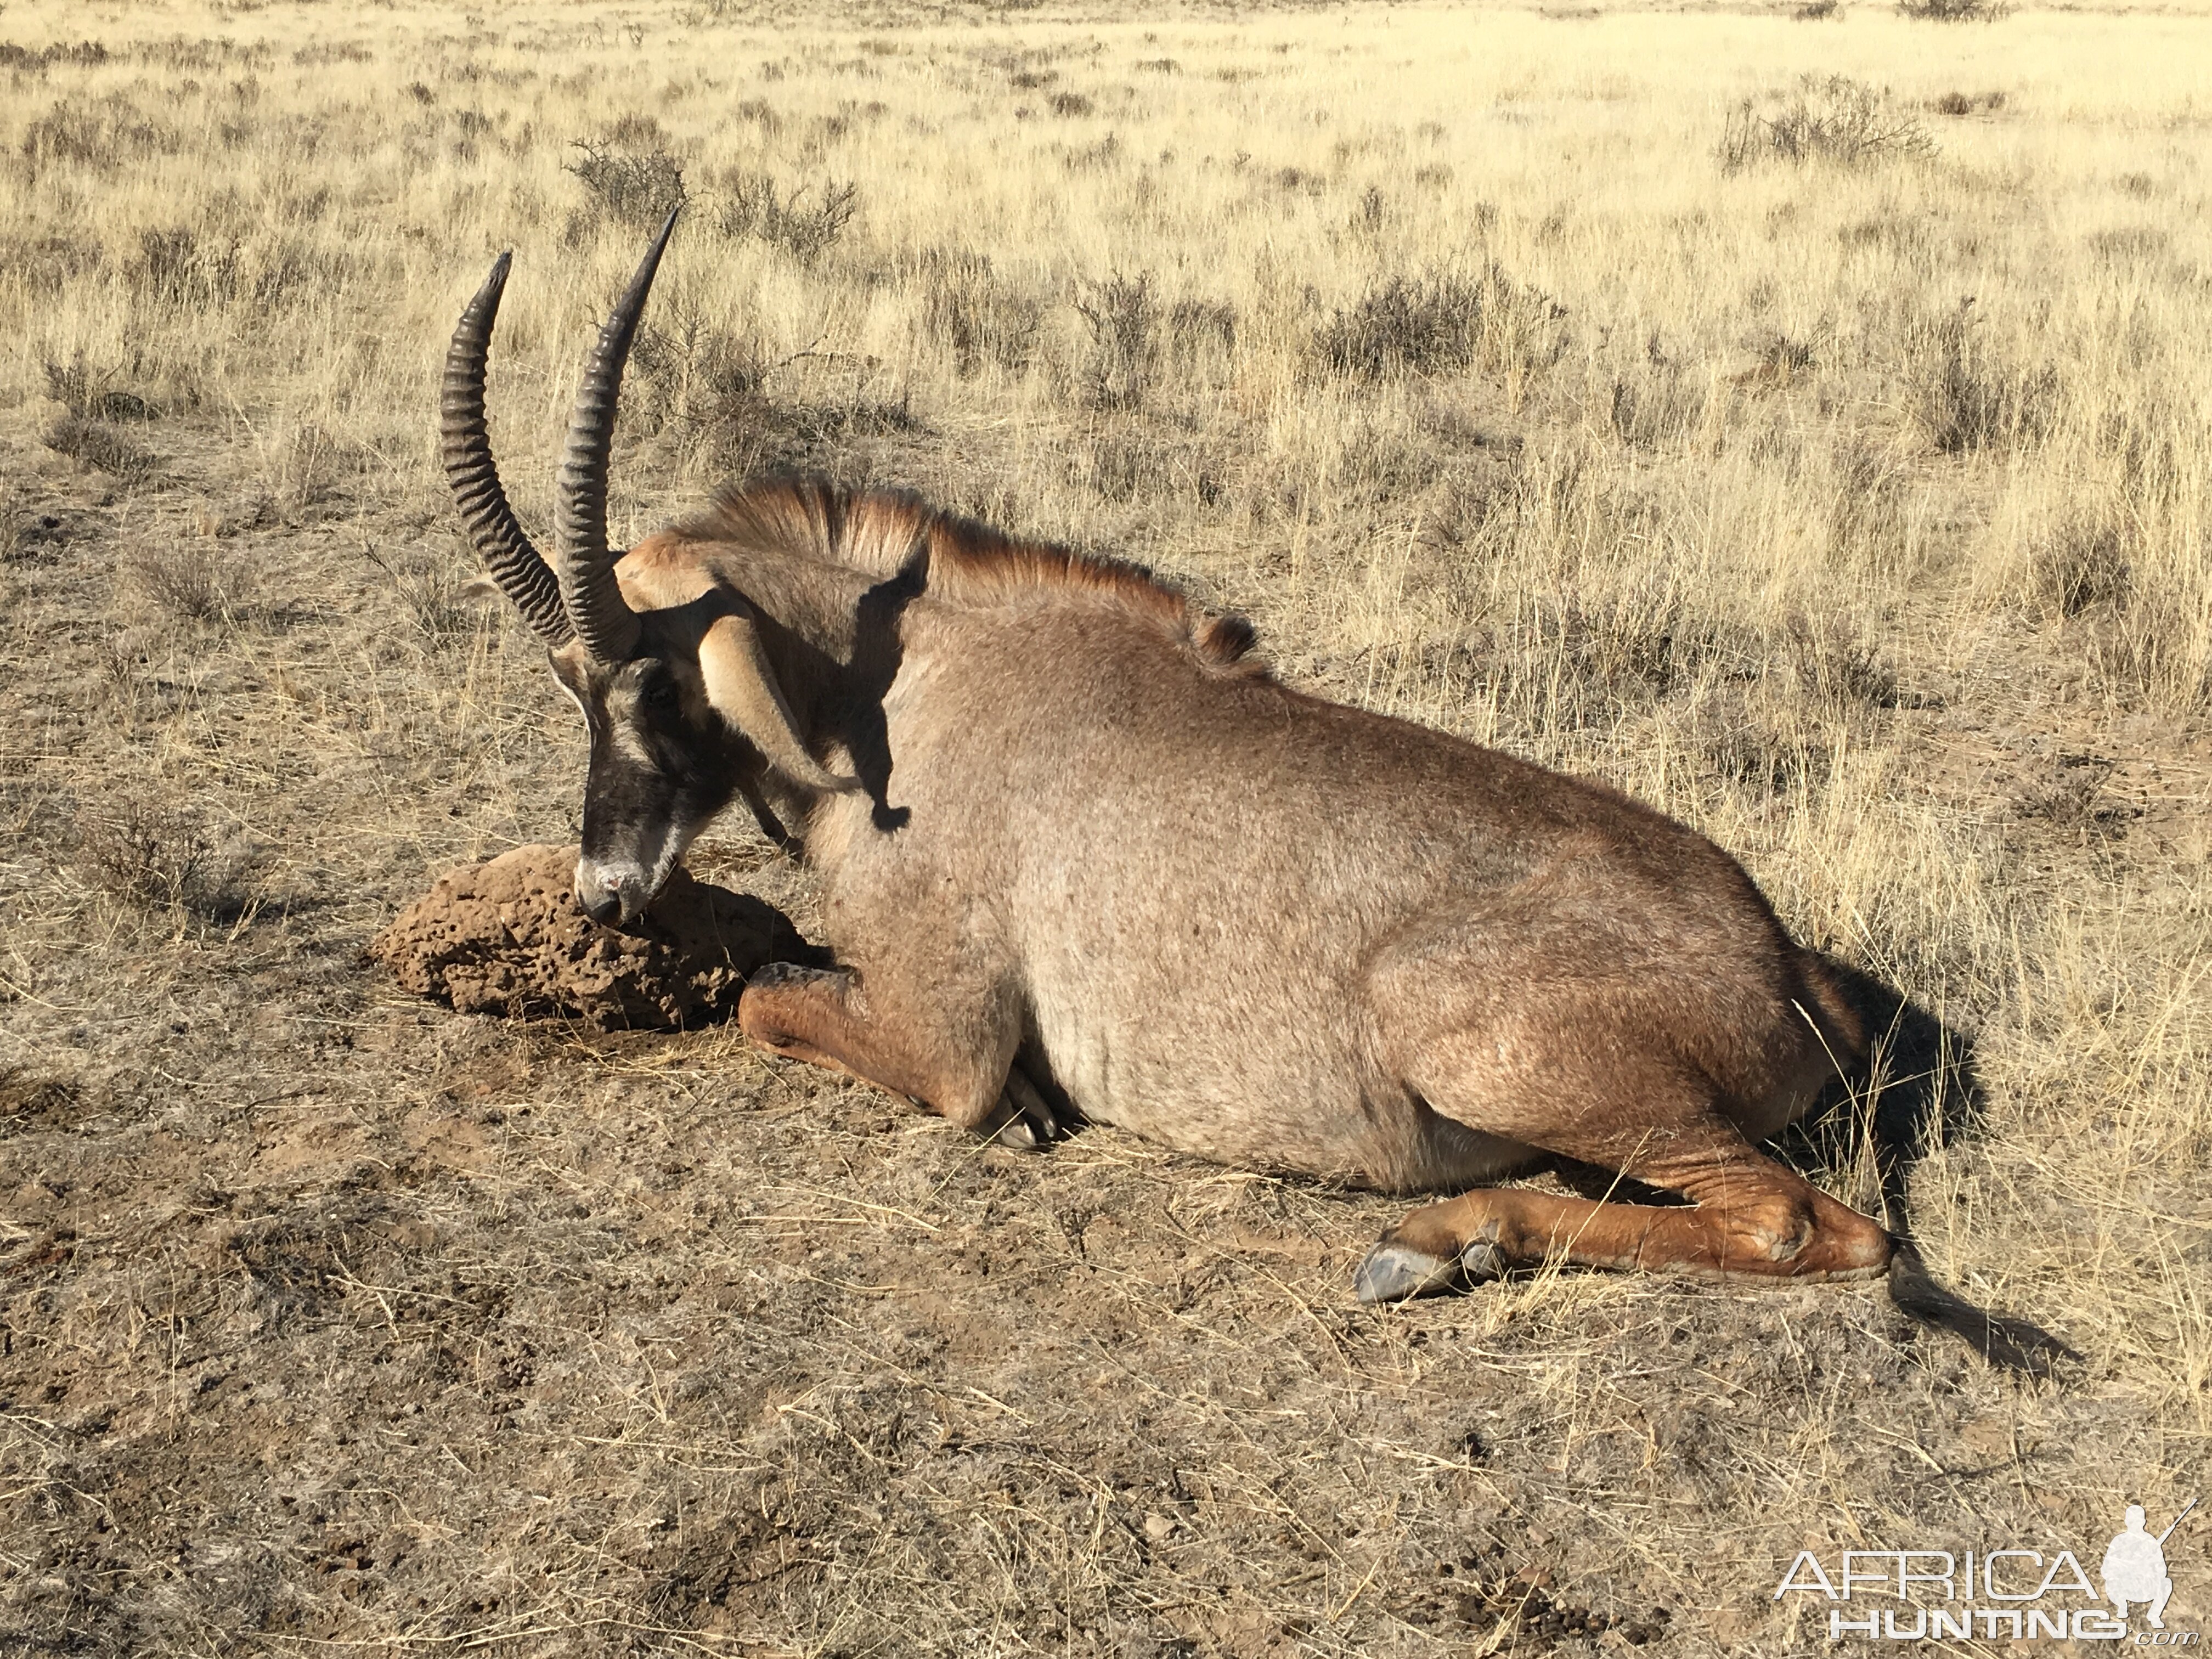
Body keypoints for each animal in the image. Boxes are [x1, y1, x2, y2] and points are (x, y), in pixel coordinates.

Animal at [444, 211, 2070, 1380]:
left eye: (651, 683)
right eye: (571, 691)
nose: (605, 893)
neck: (906, 699)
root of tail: (1788, 965)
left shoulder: (946, 1037)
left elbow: (775, 999)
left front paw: (1022, 1110)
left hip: (1483, 1044)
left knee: (1806, 1225)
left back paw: (1441, 1240)